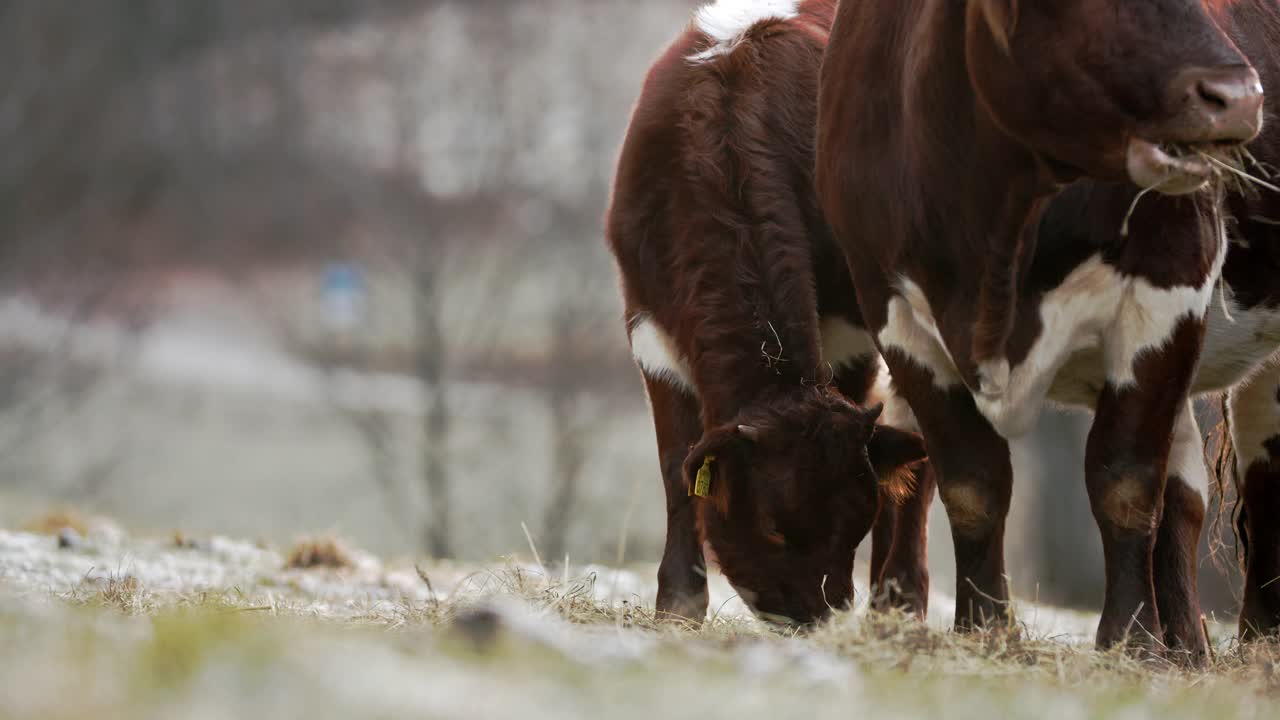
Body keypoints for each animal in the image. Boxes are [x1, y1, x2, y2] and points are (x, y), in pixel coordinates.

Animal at [604, 0, 926, 627]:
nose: (816, 615)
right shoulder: (649, 325)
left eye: (855, 523)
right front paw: (679, 604)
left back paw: (900, 601)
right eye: (774, 528)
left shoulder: (851, 334)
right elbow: (676, 468)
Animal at [814, 0, 1264, 653]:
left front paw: (1131, 639)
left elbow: (1125, 481)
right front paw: (982, 626)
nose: (1239, 96)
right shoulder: (891, 310)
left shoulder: (1173, 283)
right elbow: (971, 482)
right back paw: (1189, 650)